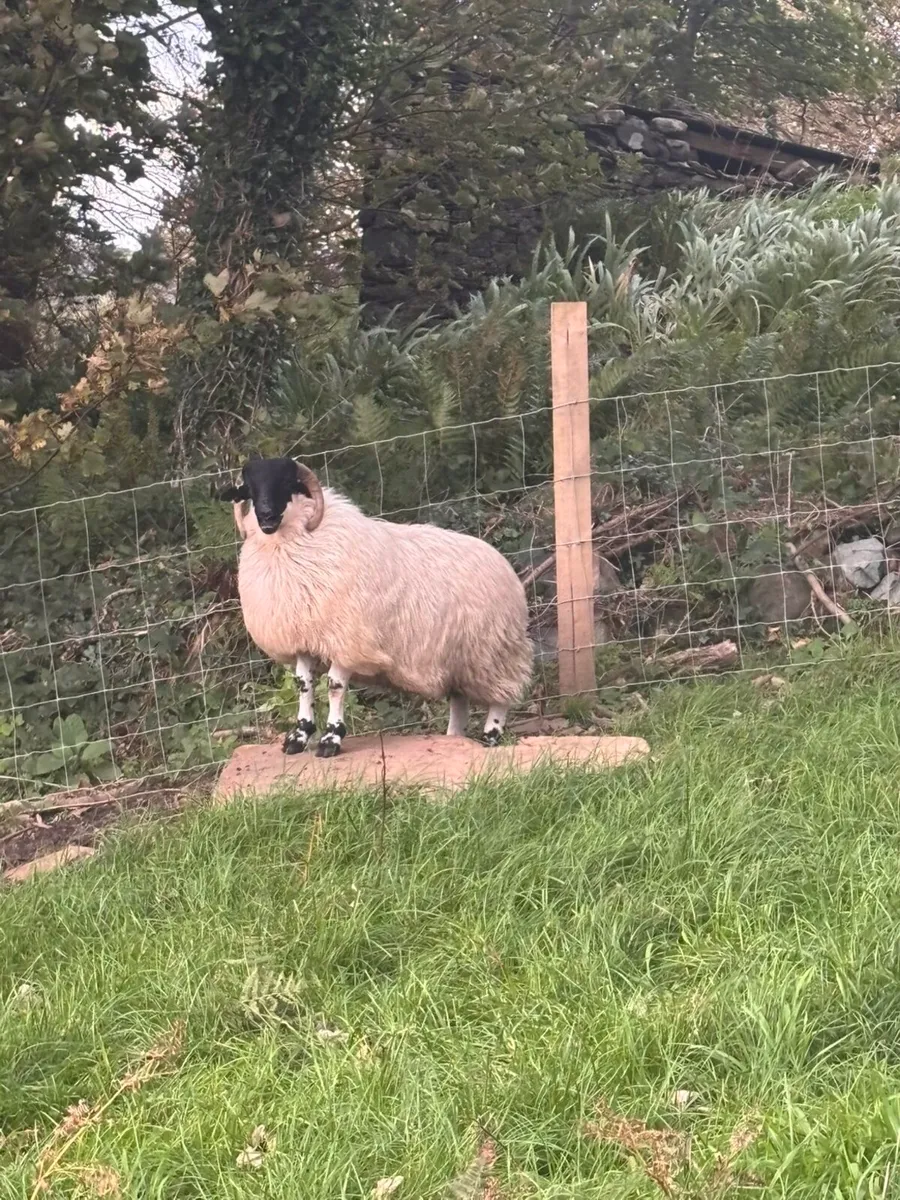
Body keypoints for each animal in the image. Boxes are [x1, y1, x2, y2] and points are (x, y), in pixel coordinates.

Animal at [219, 456, 533, 758]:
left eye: (286, 482)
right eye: (250, 488)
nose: (266, 517)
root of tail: (505, 565)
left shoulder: (347, 639)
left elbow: (334, 687)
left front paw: (331, 739)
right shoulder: (303, 637)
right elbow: (303, 684)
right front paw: (299, 736)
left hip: (494, 654)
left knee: (501, 700)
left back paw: (490, 738)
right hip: (459, 660)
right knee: (460, 702)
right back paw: (453, 739)